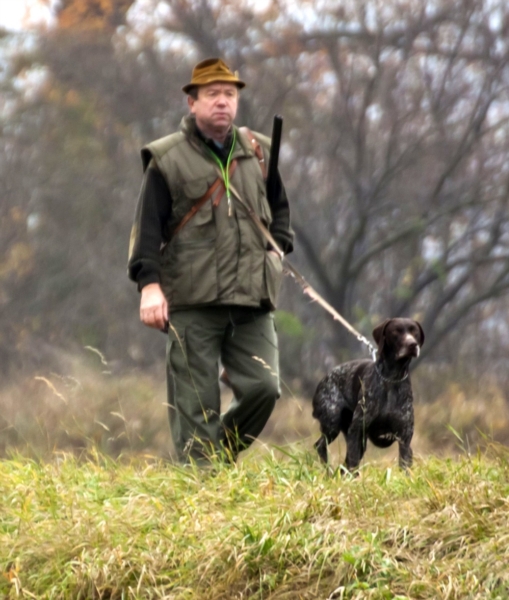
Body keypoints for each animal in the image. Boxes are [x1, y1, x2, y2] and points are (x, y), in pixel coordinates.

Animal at [312, 318, 424, 472]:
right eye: (396, 331)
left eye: (415, 332)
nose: (412, 344)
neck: (392, 379)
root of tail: (323, 380)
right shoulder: (357, 430)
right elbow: (353, 463)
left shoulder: (405, 437)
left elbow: (405, 465)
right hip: (333, 426)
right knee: (320, 446)